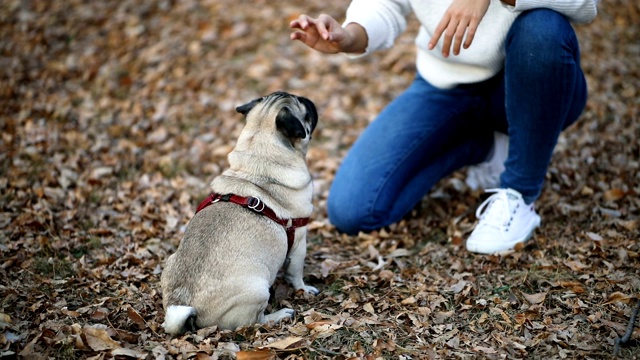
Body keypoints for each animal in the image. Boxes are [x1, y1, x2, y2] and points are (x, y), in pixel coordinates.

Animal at [160, 90, 320, 334]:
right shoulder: (299, 239)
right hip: (258, 289)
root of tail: (185, 303)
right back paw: (279, 315)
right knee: (254, 322)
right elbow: (296, 273)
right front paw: (304, 289)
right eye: (304, 109)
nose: (308, 99)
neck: (258, 162)